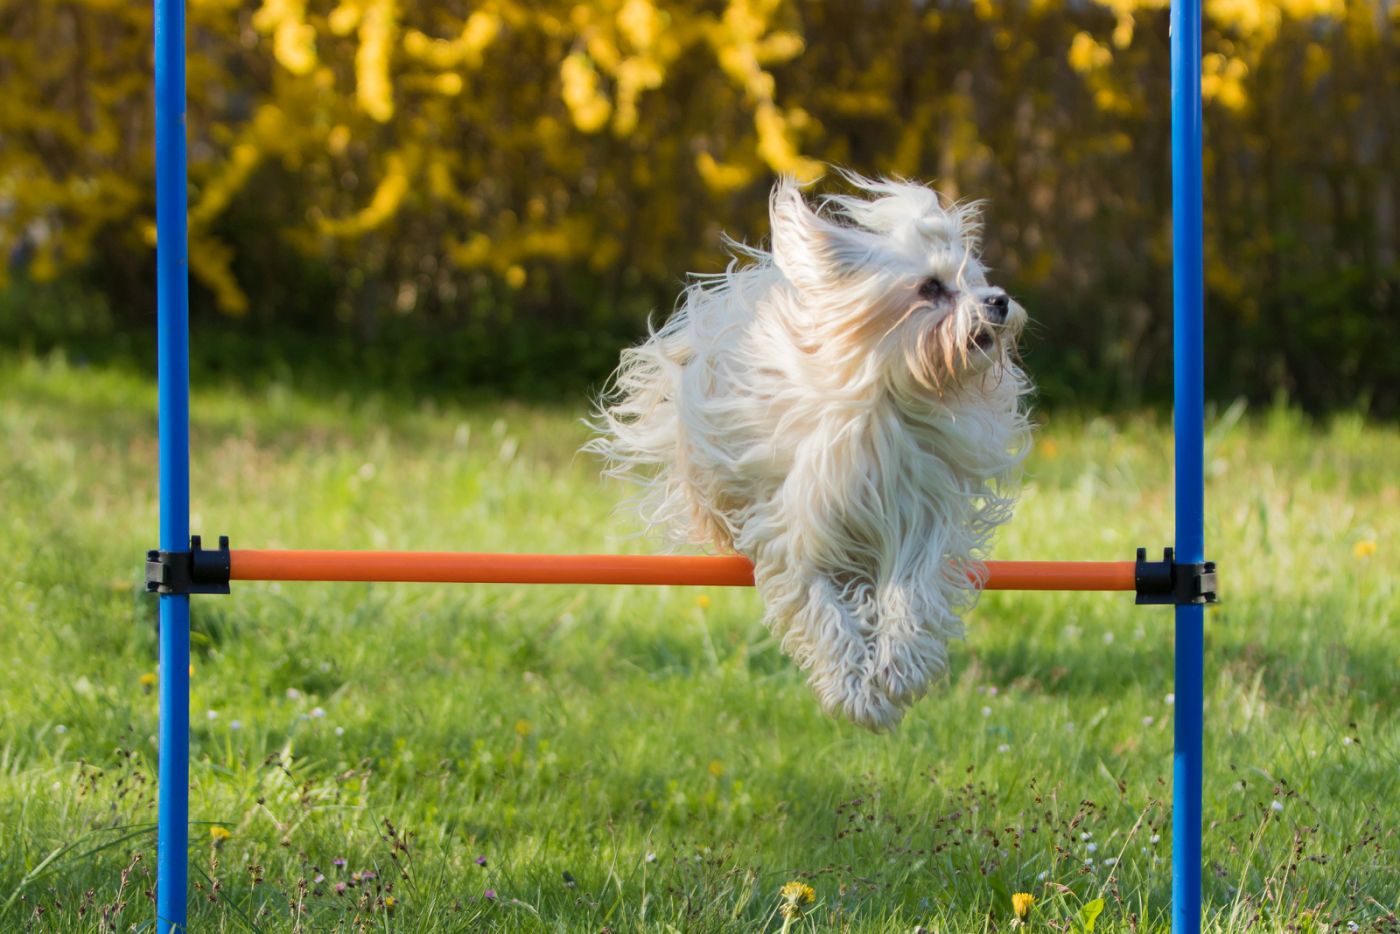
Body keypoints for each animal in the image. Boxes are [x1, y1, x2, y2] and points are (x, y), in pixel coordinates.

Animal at [585, 173, 1036, 728]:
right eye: (931, 287)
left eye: (973, 279)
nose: (999, 300)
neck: (889, 398)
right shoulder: (799, 531)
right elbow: (823, 610)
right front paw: (856, 692)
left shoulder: (920, 514)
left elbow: (913, 588)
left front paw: (897, 668)